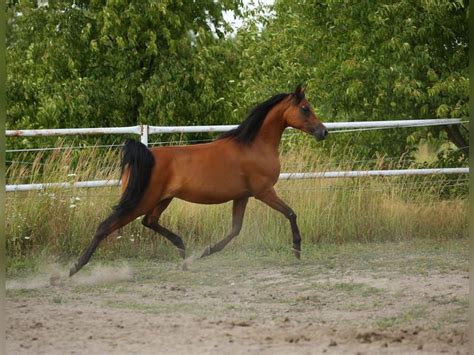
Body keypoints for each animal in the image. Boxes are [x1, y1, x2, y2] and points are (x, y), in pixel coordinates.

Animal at [68, 87, 328, 278]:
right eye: (305, 108)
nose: (323, 132)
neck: (253, 146)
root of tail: (146, 156)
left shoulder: (242, 196)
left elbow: (235, 230)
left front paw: (205, 252)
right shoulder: (264, 191)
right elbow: (291, 213)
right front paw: (297, 249)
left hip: (162, 199)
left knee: (149, 221)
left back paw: (184, 254)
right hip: (142, 200)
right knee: (106, 226)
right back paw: (74, 268)